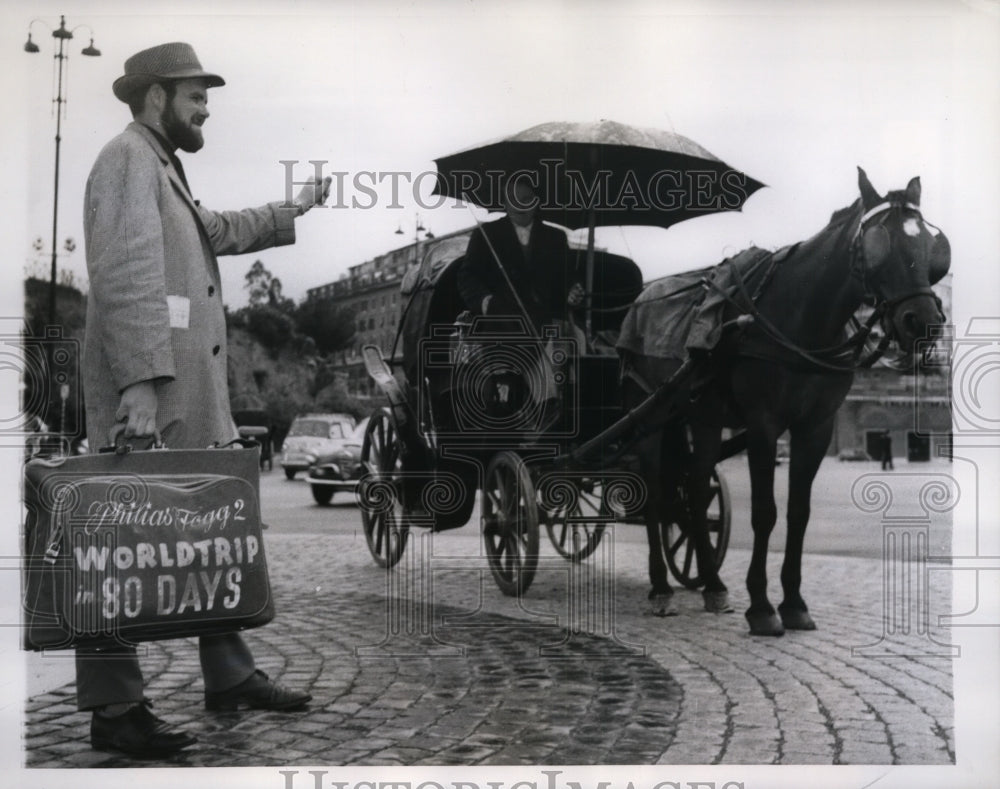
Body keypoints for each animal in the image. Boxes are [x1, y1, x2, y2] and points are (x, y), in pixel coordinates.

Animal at [620, 168, 948, 636]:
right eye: (880, 245)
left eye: (930, 247)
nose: (924, 322)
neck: (801, 320)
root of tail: (645, 298)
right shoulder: (763, 425)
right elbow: (764, 512)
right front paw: (760, 607)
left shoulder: (816, 428)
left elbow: (798, 511)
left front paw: (793, 602)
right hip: (651, 418)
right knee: (655, 497)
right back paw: (661, 588)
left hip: (702, 417)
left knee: (696, 492)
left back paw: (713, 584)